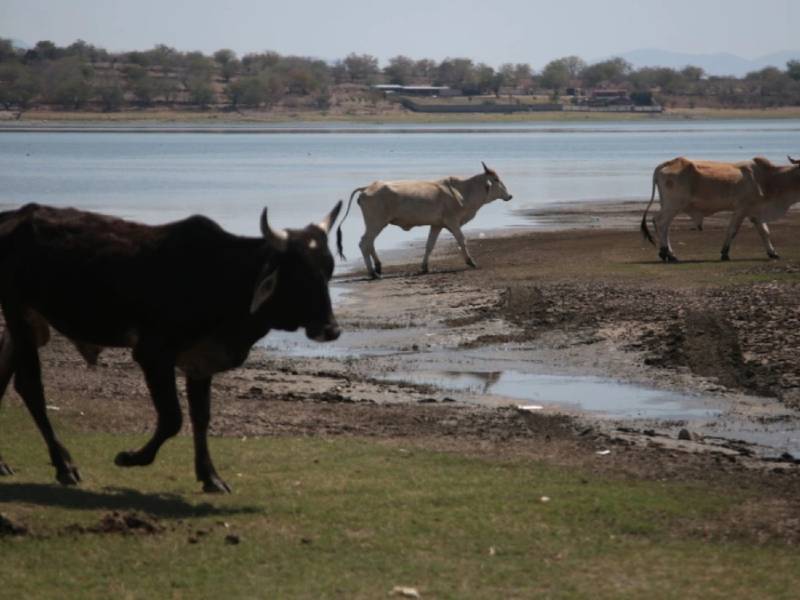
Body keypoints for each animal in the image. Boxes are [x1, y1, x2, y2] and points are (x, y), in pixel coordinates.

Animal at [0, 202, 340, 492]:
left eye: (328, 269)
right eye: (300, 275)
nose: (332, 330)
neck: (223, 276)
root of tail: (14, 216)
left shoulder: (202, 359)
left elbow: (201, 417)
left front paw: (210, 477)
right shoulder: (152, 354)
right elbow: (173, 418)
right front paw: (131, 457)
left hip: (26, 322)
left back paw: (6, 464)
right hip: (18, 314)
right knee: (30, 387)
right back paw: (64, 465)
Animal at [336, 163, 512, 278]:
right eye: (496, 180)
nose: (509, 196)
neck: (462, 192)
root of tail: (367, 188)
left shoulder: (436, 225)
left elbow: (429, 245)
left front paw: (425, 267)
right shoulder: (453, 221)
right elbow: (462, 240)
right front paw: (471, 262)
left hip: (376, 224)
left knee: (370, 243)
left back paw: (378, 267)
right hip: (376, 223)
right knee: (364, 243)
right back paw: (373, 273)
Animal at [640, 156, 800, 262]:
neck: (767, 179)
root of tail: (666, 164)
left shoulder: (755, 212)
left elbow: (765, 232)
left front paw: (773, 253)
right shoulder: (741, 209)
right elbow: (732, 231)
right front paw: (724, 253)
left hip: (668, 205)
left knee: (663, 226)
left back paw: (668, 253)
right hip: (673, 205)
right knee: (661, 223)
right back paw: (667, 253)